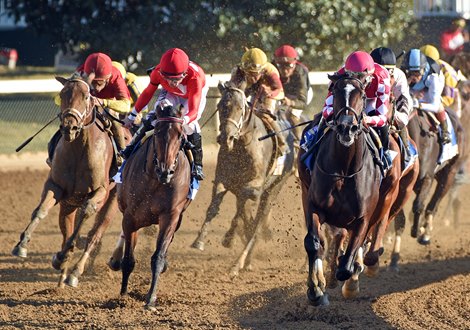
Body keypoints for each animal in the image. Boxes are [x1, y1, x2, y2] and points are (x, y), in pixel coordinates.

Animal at [11, 76, 125, 288]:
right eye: (63, 94)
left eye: (86, 96)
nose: (69, 127)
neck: (79, 150)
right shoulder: (56, 186)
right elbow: (41, 210)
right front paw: (22, 244)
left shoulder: (100, 191)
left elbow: (86, 214)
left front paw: (65, 255)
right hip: (69, 203)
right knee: (68, 229)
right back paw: (62, 275)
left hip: (112, 201)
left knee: (94, 235)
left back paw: (74, 272)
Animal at [108, 104, 191, 310]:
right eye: (158, 132)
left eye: (180, 135)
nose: (165, 171)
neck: (155, 181)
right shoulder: (130, 218)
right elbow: (128, 260)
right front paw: (123, 296)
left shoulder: (170, 216)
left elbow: (158, 257)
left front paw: (151, 298)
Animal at [190, 80, 294, 276]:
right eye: (221, 106)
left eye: (240, 108)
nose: (226, 137)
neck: (243, 146)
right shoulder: (224, 180)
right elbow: (213, 208)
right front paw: (199, 240)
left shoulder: (255, 186)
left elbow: (243, 208)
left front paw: (229, 238)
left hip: (274, 188)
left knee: (257, 225)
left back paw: (238, 264)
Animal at [298, 73, 404, 306]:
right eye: (335, 91)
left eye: (363, 95)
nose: (347, 128)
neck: (343, 170)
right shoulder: (314, 205)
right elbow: (313, 243)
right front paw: (316, 290)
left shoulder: (363, 218)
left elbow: (347, 263)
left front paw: (350, 279)